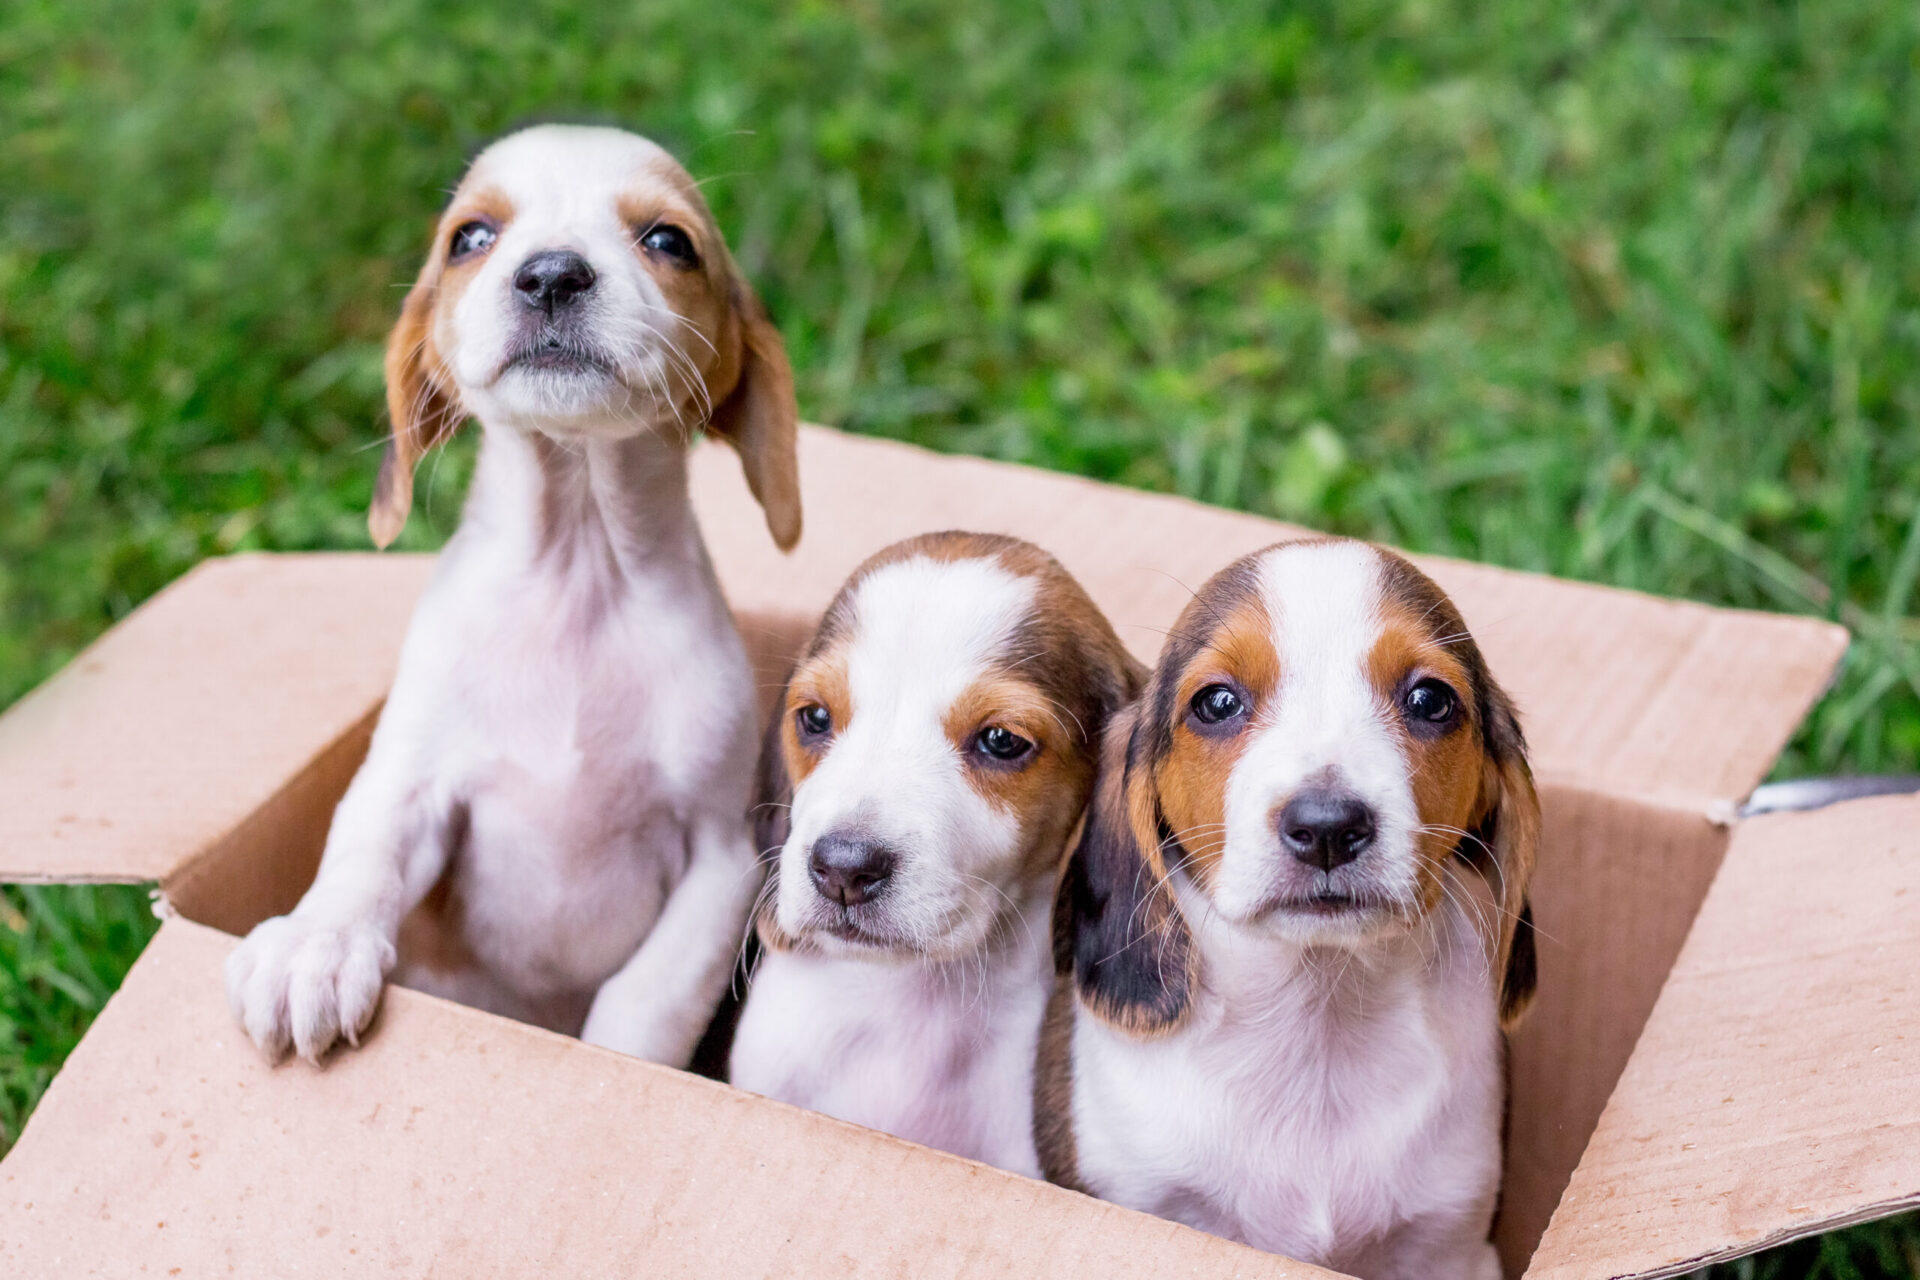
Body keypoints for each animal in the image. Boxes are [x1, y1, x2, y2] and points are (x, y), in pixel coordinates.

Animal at [228, 124, 798, 1074]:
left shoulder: (720, 860)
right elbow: (360, 864)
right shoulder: (407, 787)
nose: (553, 273)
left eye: (669, 240)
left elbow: (642, 1003)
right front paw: (316, 947)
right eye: (471, 237)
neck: (580, 573)